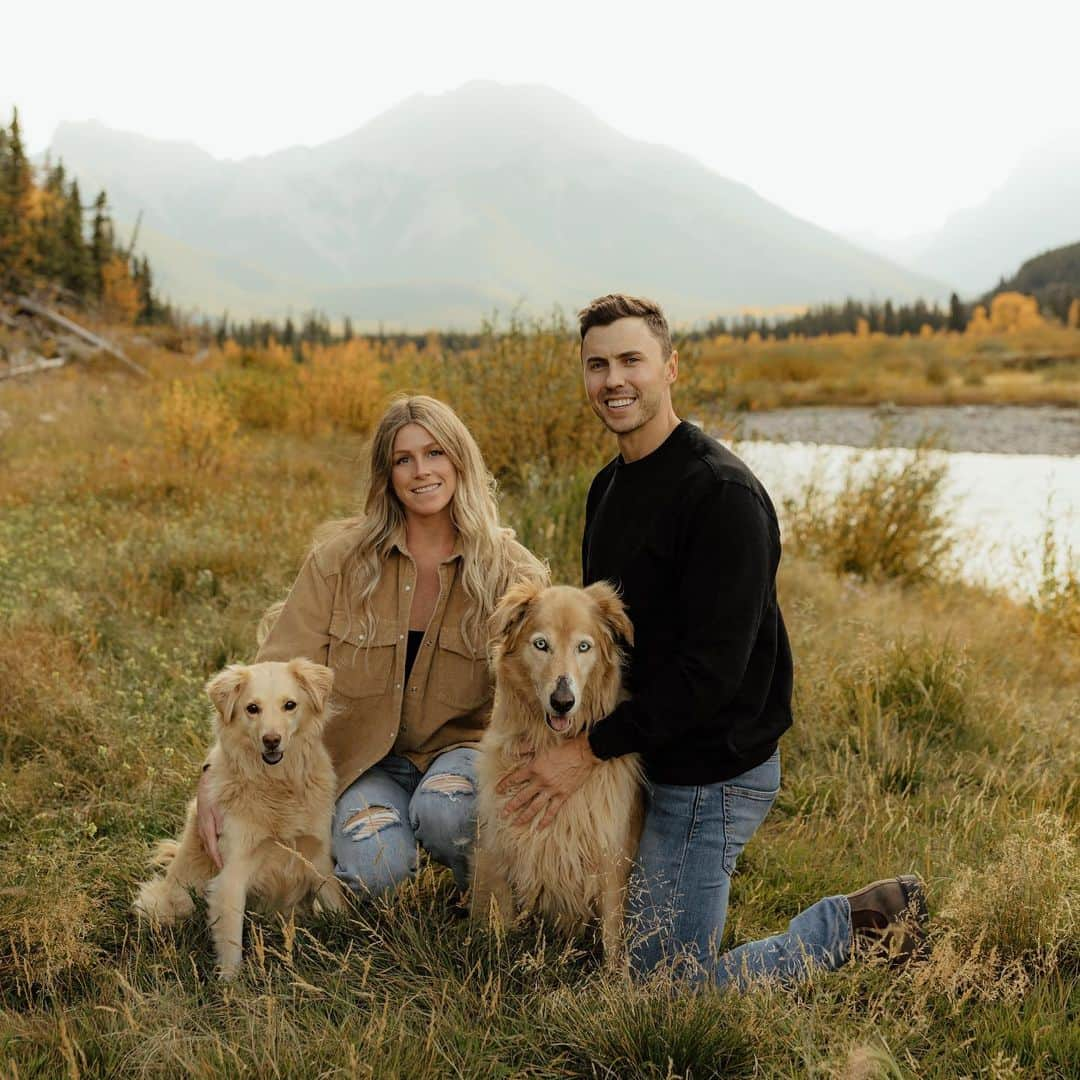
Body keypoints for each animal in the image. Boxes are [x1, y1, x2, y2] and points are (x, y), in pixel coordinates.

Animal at [132, 656, 341, 980]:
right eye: (252, 708)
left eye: (290, 705)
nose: (271, 741)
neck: (276, 785)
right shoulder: (232, 874)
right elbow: (231, 941)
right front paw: (231, 986)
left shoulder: (318, 859)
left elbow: (338, 905)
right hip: (164, 904)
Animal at [470, 583, 639, 963]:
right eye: (541, 644)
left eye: (583, 647)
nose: (563, 702)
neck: (552, 741)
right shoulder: (500, 845)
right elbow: (501, 919)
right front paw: (497, 958)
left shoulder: (611, 859)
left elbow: (613, 939)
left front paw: (616, 978)